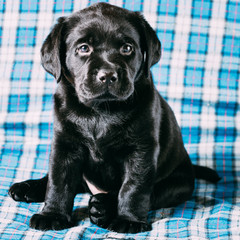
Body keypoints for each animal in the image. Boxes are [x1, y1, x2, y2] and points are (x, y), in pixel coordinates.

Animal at [8, 2, 220, 233]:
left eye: (127, 48)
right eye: (84, 48)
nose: (108, 75)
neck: (100, 111)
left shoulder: (141, 149)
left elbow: (134, 187)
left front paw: (129, 220)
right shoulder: (65, 144)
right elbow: (58, 182)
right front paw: (52, 214)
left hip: (178, 183)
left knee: (153, 193)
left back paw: (103, 206)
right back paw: (27, 187)